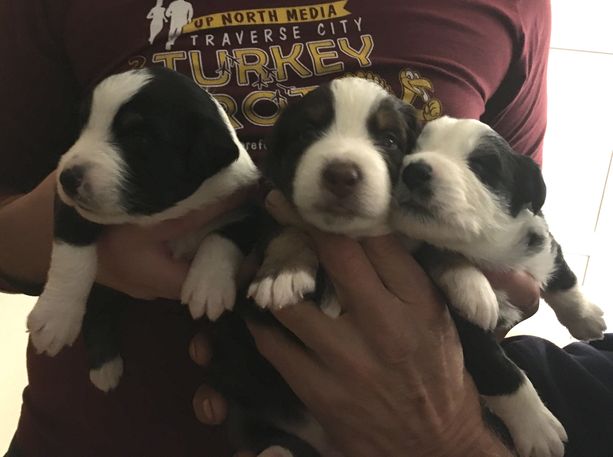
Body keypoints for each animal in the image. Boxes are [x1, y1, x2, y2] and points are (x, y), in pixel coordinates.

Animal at [26, 67, 260, 391]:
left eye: (138, 137)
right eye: (82, 126)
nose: (67, 178)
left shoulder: (247, 201)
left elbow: (225, 234)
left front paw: (208, 284)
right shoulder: (69, 208)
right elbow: (71, 256)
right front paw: (55, 317)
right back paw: (104, 366)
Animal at [249, 77, 606, 457]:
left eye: (481, 166)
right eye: (307, 133)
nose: (416, 169)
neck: (489, 247)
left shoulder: (539, 237)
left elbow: (561, 274)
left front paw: (585, 317)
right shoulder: (468, 332)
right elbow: (501, 369)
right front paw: (537, 426)